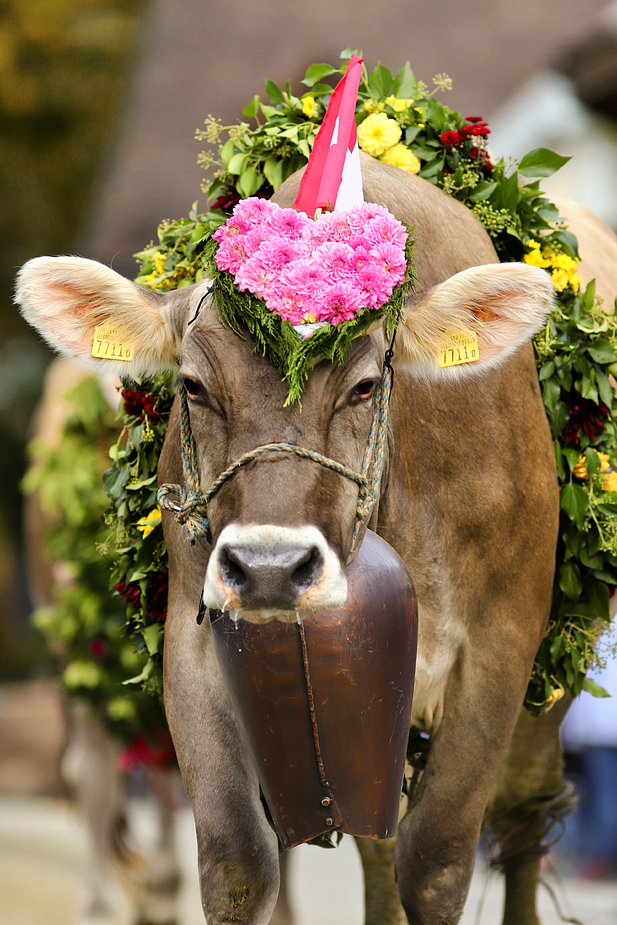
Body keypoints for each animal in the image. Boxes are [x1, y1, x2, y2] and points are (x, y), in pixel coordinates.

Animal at [13, 153, 616, 924]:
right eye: (193, 385)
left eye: (362, 386)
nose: (270, 567)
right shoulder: (195, 637)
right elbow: (239, 859)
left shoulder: (500, 647)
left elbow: (438, 860)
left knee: (519, 813)